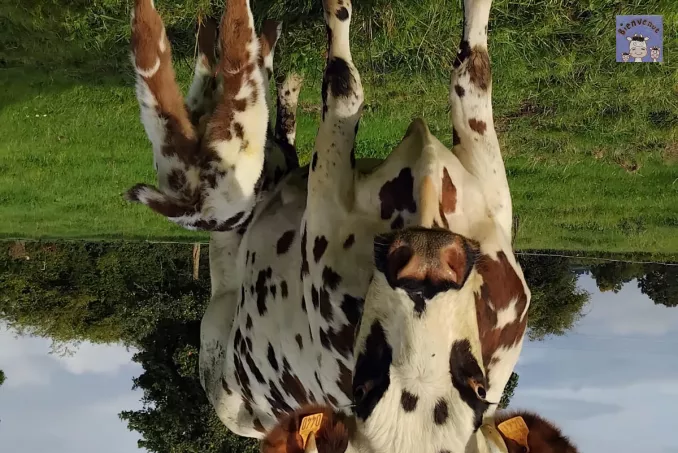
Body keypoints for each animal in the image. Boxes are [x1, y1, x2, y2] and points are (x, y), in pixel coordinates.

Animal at [125, 0, 579, 452]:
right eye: (366, 383)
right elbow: (461, 72)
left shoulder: (326, 203)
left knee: (207, 154)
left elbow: (365, 83)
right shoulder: (487, 193)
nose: (427, 265)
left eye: (477, 385)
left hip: (230, 237)